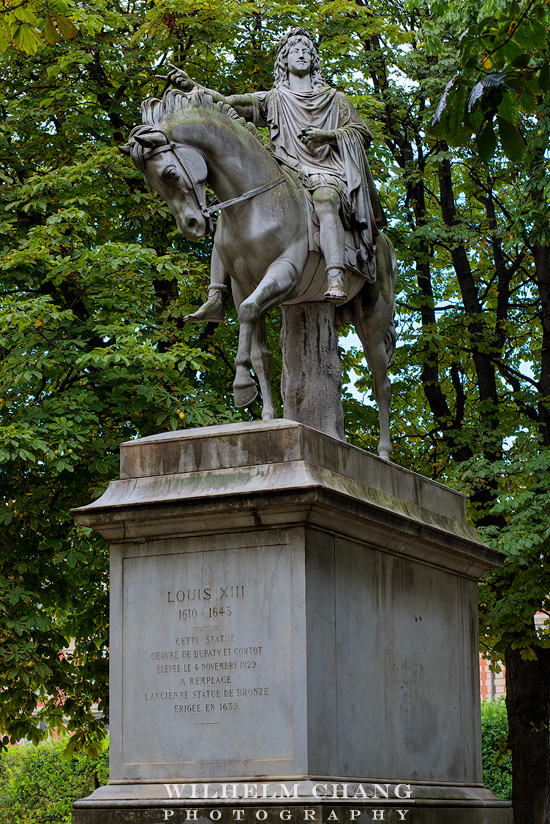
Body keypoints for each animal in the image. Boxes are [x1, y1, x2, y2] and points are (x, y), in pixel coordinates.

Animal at [122, 95, 396, 464]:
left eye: (169, 172)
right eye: (152, 183)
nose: (192, 226)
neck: (253, 203)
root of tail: (384, 243)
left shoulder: (285, 274)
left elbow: (249, 313)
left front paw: (241, 387)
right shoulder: (242, 286)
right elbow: (259, 352)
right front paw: (266, 416)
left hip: (373, 320)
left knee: (382, 382)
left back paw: (384, 453)